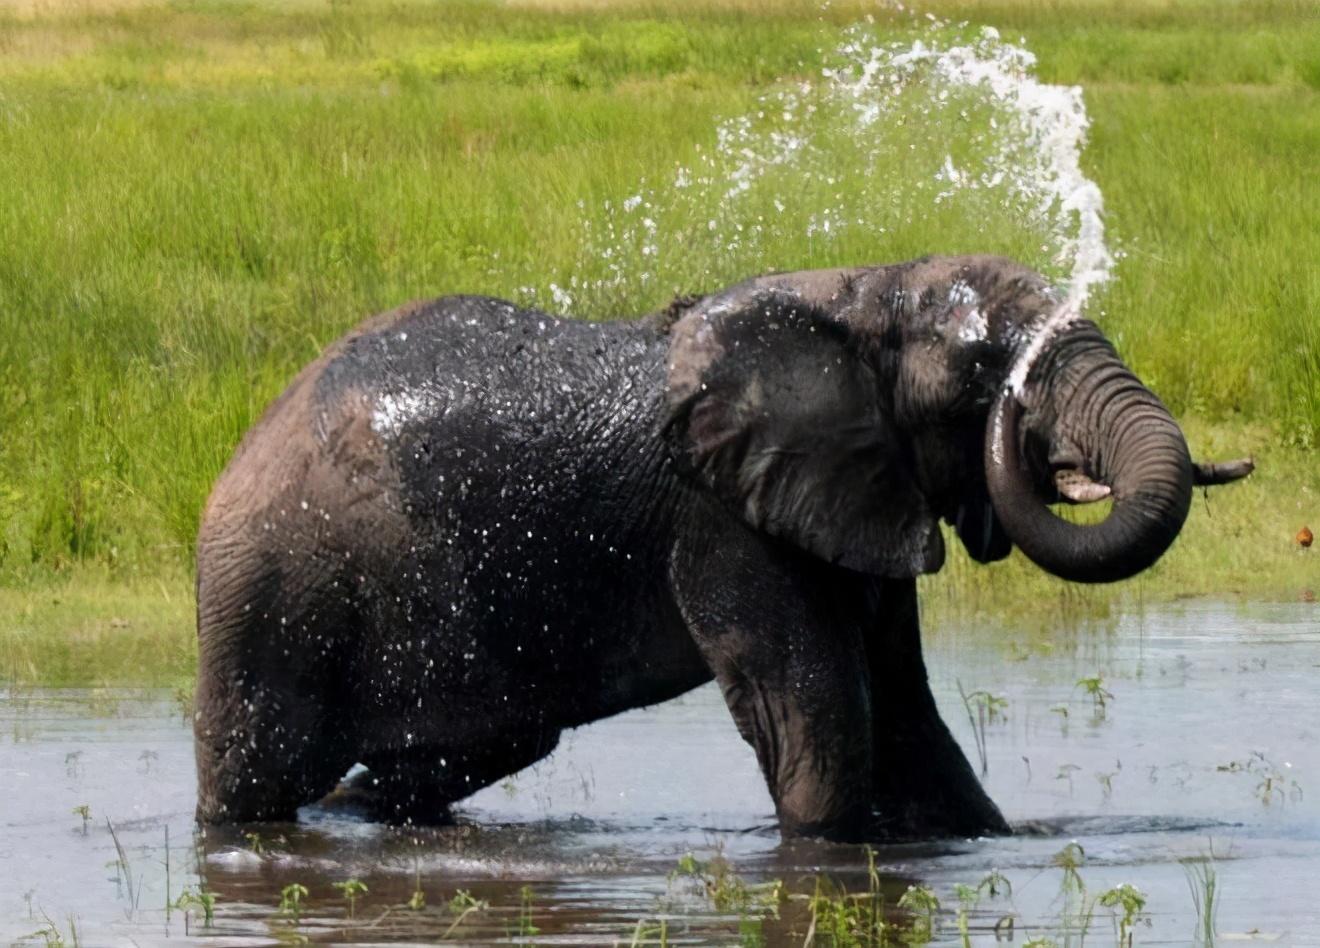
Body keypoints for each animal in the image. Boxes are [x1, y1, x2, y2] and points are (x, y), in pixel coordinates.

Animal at [193, 254, 1252, 840]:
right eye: (987, 368)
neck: (861, 289)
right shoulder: (723, 519)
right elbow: (813, 710)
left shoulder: (847, 492)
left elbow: (906, 713)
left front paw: (994, 839)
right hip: (276, 594)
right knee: (257, 775)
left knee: (466, 755)